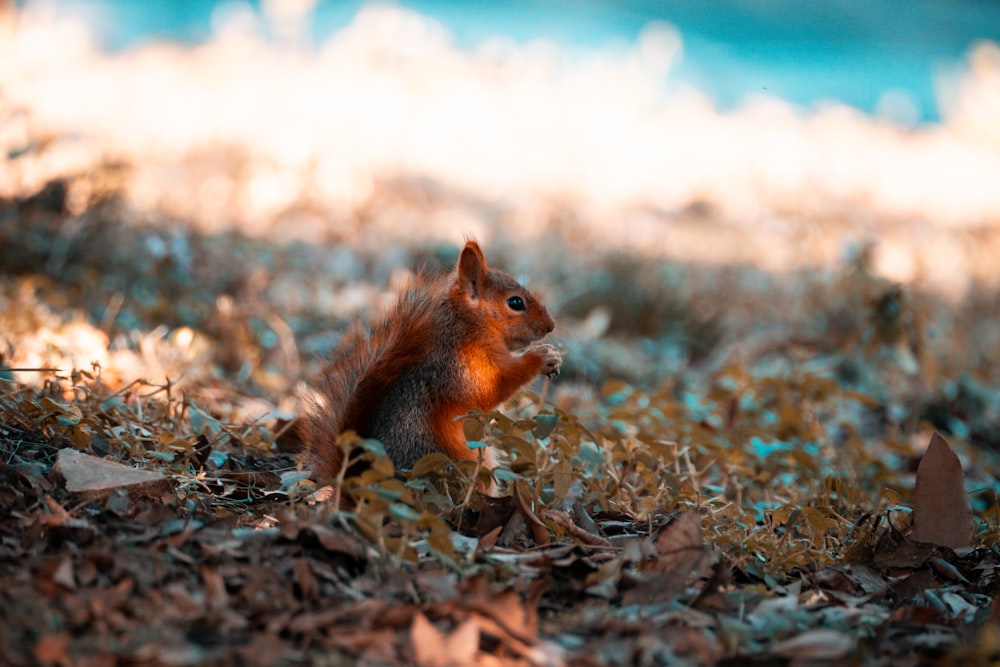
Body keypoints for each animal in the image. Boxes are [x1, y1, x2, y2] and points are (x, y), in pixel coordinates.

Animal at [300, 240, 560, 480]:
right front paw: (541, 357)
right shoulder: (457, 367)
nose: (550, 326)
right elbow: (490, 388)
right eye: (515, 302)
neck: (469, 327)